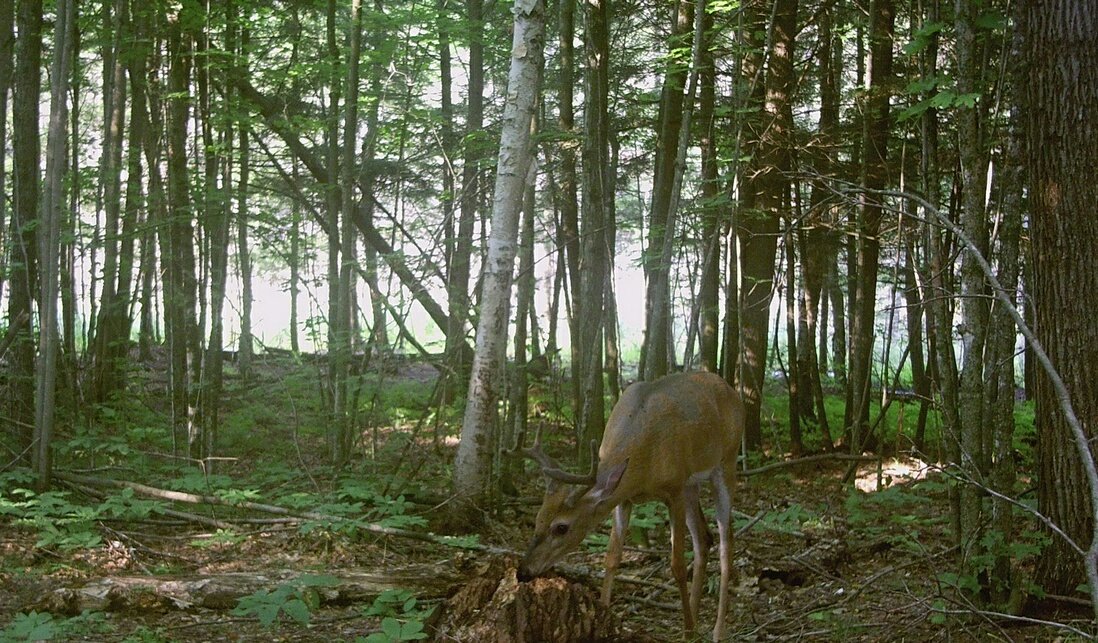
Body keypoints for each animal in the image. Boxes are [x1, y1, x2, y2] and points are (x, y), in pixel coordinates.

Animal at [515, 371, 744, 641]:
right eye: (538, 519)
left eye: (561, 527)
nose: (523, 571)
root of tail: (731, 390)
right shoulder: (623, 499)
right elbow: (612, 557)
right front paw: (604, 615)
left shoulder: (674, 489)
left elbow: (676, 564)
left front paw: (687, 631)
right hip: (692, 485)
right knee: (704, 538)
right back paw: (696, 620)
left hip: (726, 462)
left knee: (726, 541)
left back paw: (715, 630)